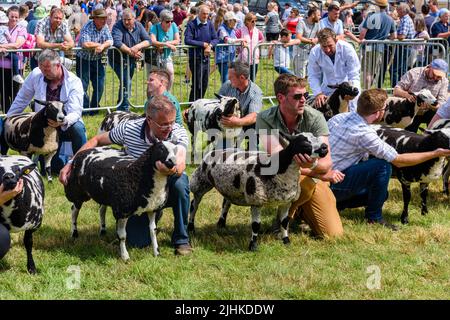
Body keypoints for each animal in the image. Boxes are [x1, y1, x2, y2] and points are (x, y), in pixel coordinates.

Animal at [188, 134, 328, 251]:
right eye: (305, 143)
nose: (324, 147)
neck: (279, 171)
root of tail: (213, 151)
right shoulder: (256, 200)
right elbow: (256, 225)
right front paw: (253, 246)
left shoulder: (286, 202)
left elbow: (284, 222)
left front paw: (286, 241)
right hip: (200, 181)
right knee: (194, 205)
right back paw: (191, 227)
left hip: (229, 187)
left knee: (226, 202)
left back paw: (221, 224)